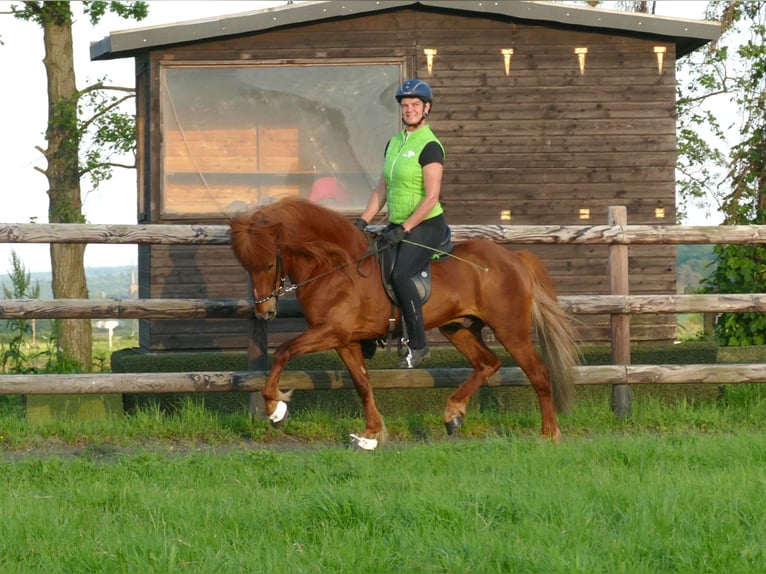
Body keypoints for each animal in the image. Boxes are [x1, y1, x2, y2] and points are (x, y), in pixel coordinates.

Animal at [231, 197, 580, 450]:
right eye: (246, 267)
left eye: (269, 264)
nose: (265, 313)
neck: (336, 265)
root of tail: (513, 258)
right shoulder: (346, 340)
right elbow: (362, 384)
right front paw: (371, 434)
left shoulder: (331, 332)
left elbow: (284, 352)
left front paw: (275, 408)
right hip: (458, 328)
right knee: (487, 363)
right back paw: (453, 414)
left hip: (510, 329)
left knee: (538, 372)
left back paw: (549, 434)